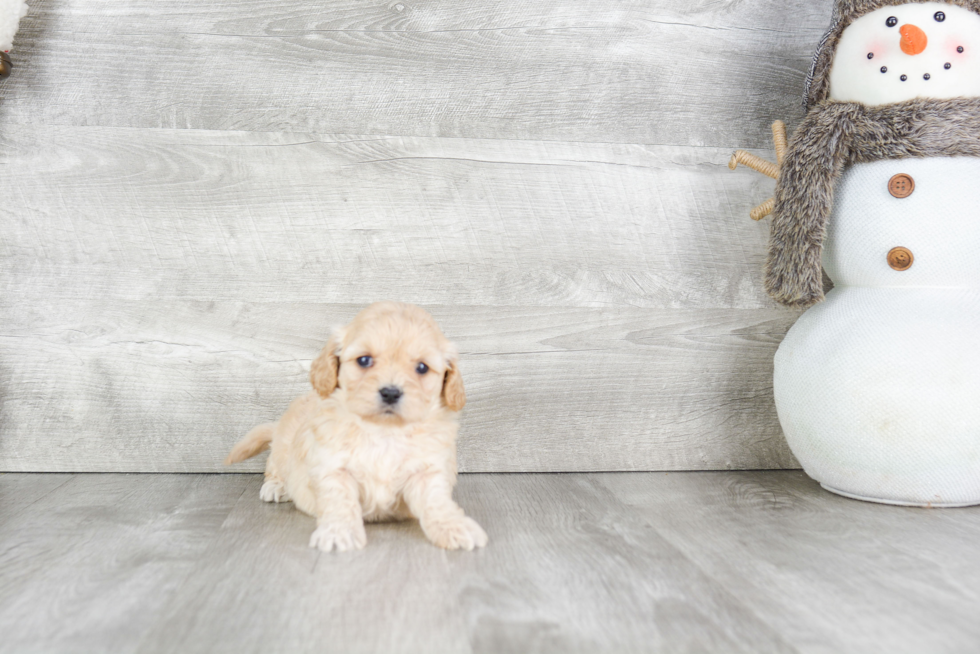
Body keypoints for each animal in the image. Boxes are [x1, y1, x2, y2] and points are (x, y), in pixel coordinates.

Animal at [225, 302, 486, 552]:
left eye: (422, 368)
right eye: (364, 360)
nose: (390, 393)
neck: (384, 430)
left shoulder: (427, 471)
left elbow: (436, 503)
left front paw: (455, 527)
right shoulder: (332, 468)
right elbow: (340, 502)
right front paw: (338, 532)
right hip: (282, 445)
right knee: (274, 465)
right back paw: (276, 487)